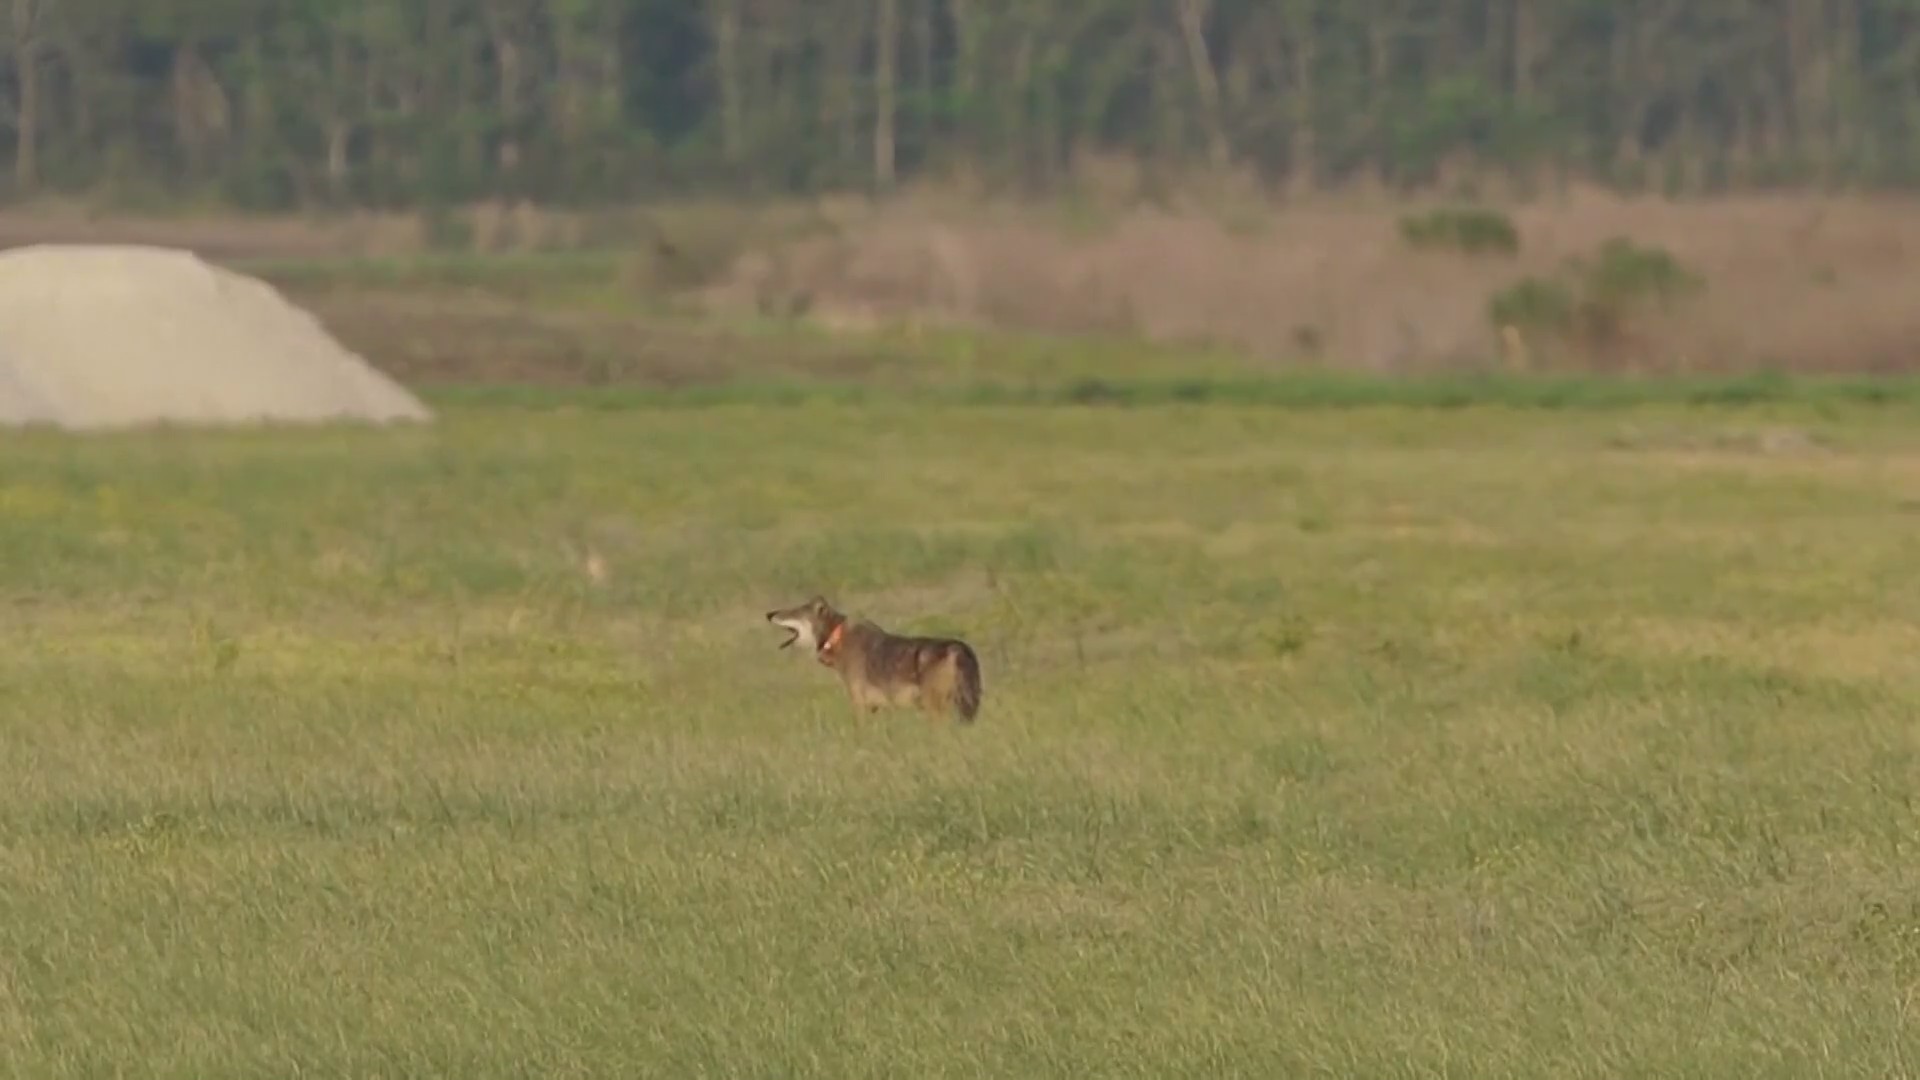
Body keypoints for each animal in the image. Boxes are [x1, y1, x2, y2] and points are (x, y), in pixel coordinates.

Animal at [765, 595, 982, 724]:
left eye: (794, 611)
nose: (769, 614)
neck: (837, 637)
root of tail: (958, 648)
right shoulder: (876, 708)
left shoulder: (859, 704)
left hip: (937, 709)